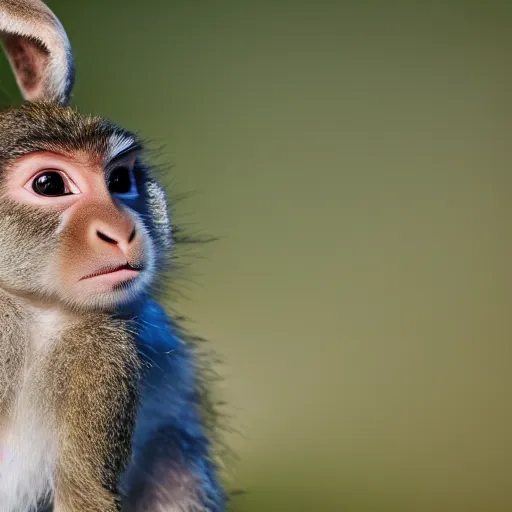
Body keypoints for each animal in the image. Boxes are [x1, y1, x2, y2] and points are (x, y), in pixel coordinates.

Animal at [0, 1, 227, 512]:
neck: (27, 312)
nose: (121, 232)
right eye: (50, 184)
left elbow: (82, 491)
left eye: (120, 181)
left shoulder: (106, 350)